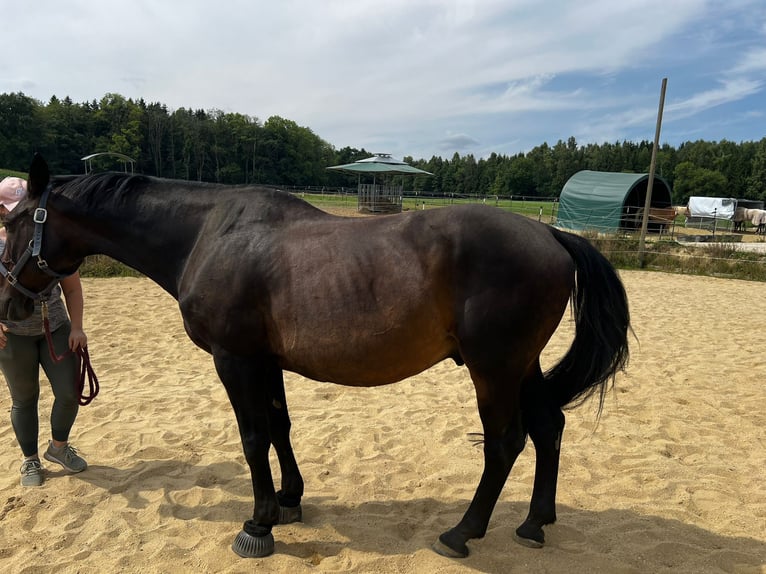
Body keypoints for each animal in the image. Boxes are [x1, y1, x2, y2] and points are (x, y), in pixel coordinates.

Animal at [0, 154, 630, 559]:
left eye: (12, 221)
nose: (9, 300)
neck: (207, 233)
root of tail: (551, 236)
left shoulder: (234, 359)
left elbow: (253, 435)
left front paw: (257, 525)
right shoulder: (265, 361)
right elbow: (280, 426)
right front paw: (288, 500)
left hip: (493, 367)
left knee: (504, 443)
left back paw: (462, 534)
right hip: (522, 364)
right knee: (549, 427)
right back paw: (534, 523)